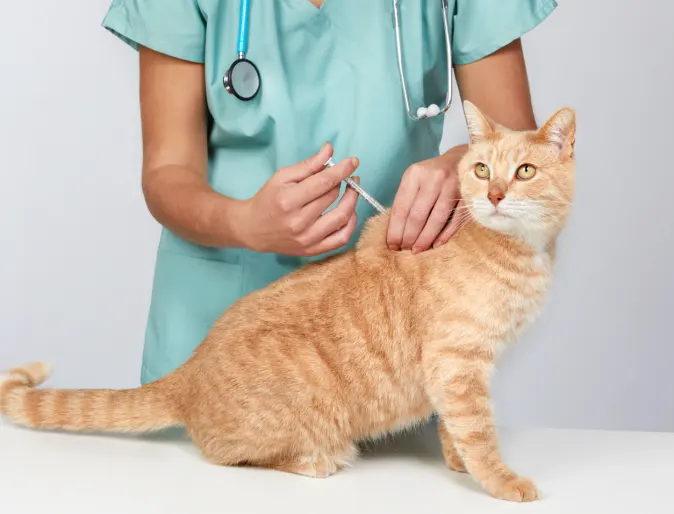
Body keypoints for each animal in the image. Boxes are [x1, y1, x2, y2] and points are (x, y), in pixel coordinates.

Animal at [2, 101, 576, 500]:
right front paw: (500, 480)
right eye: (481, 170)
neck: (517, 251)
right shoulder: (457, 365)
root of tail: (188, 371)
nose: (495, 194)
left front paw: (457, 463)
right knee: (226, 454)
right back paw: (317, 458)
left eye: (524, 171)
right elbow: (478, 431)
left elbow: (457, 430)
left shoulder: (462, 370)